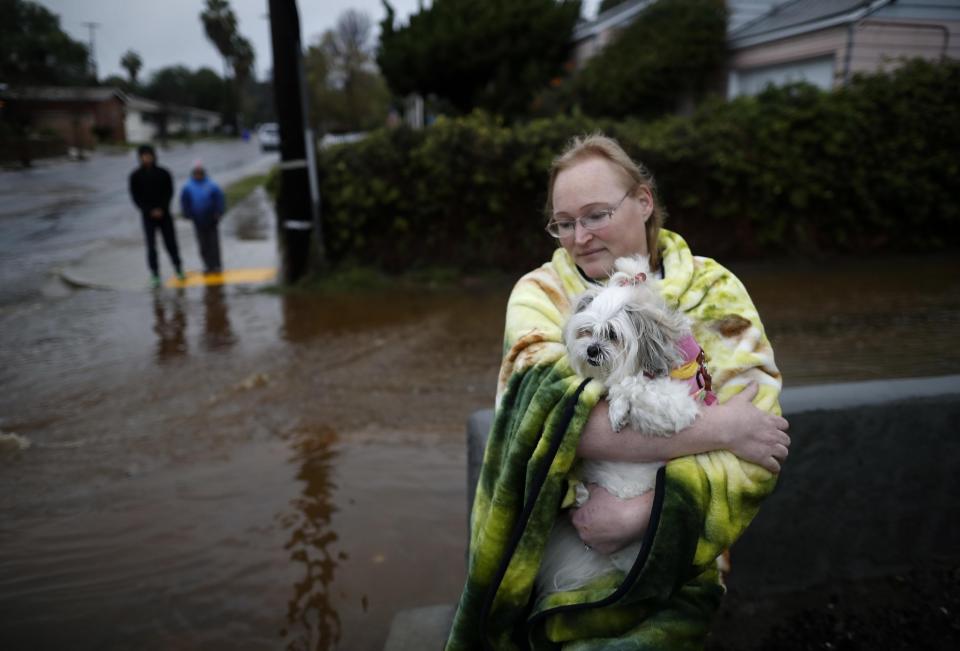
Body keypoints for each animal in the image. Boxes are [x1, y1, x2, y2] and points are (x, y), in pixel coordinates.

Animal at [536, 255, 716, 596]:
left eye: (612, 335)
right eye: (586, 332)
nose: (592, 350)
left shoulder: (676, 404)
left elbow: (630, 385)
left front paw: (618, 409)